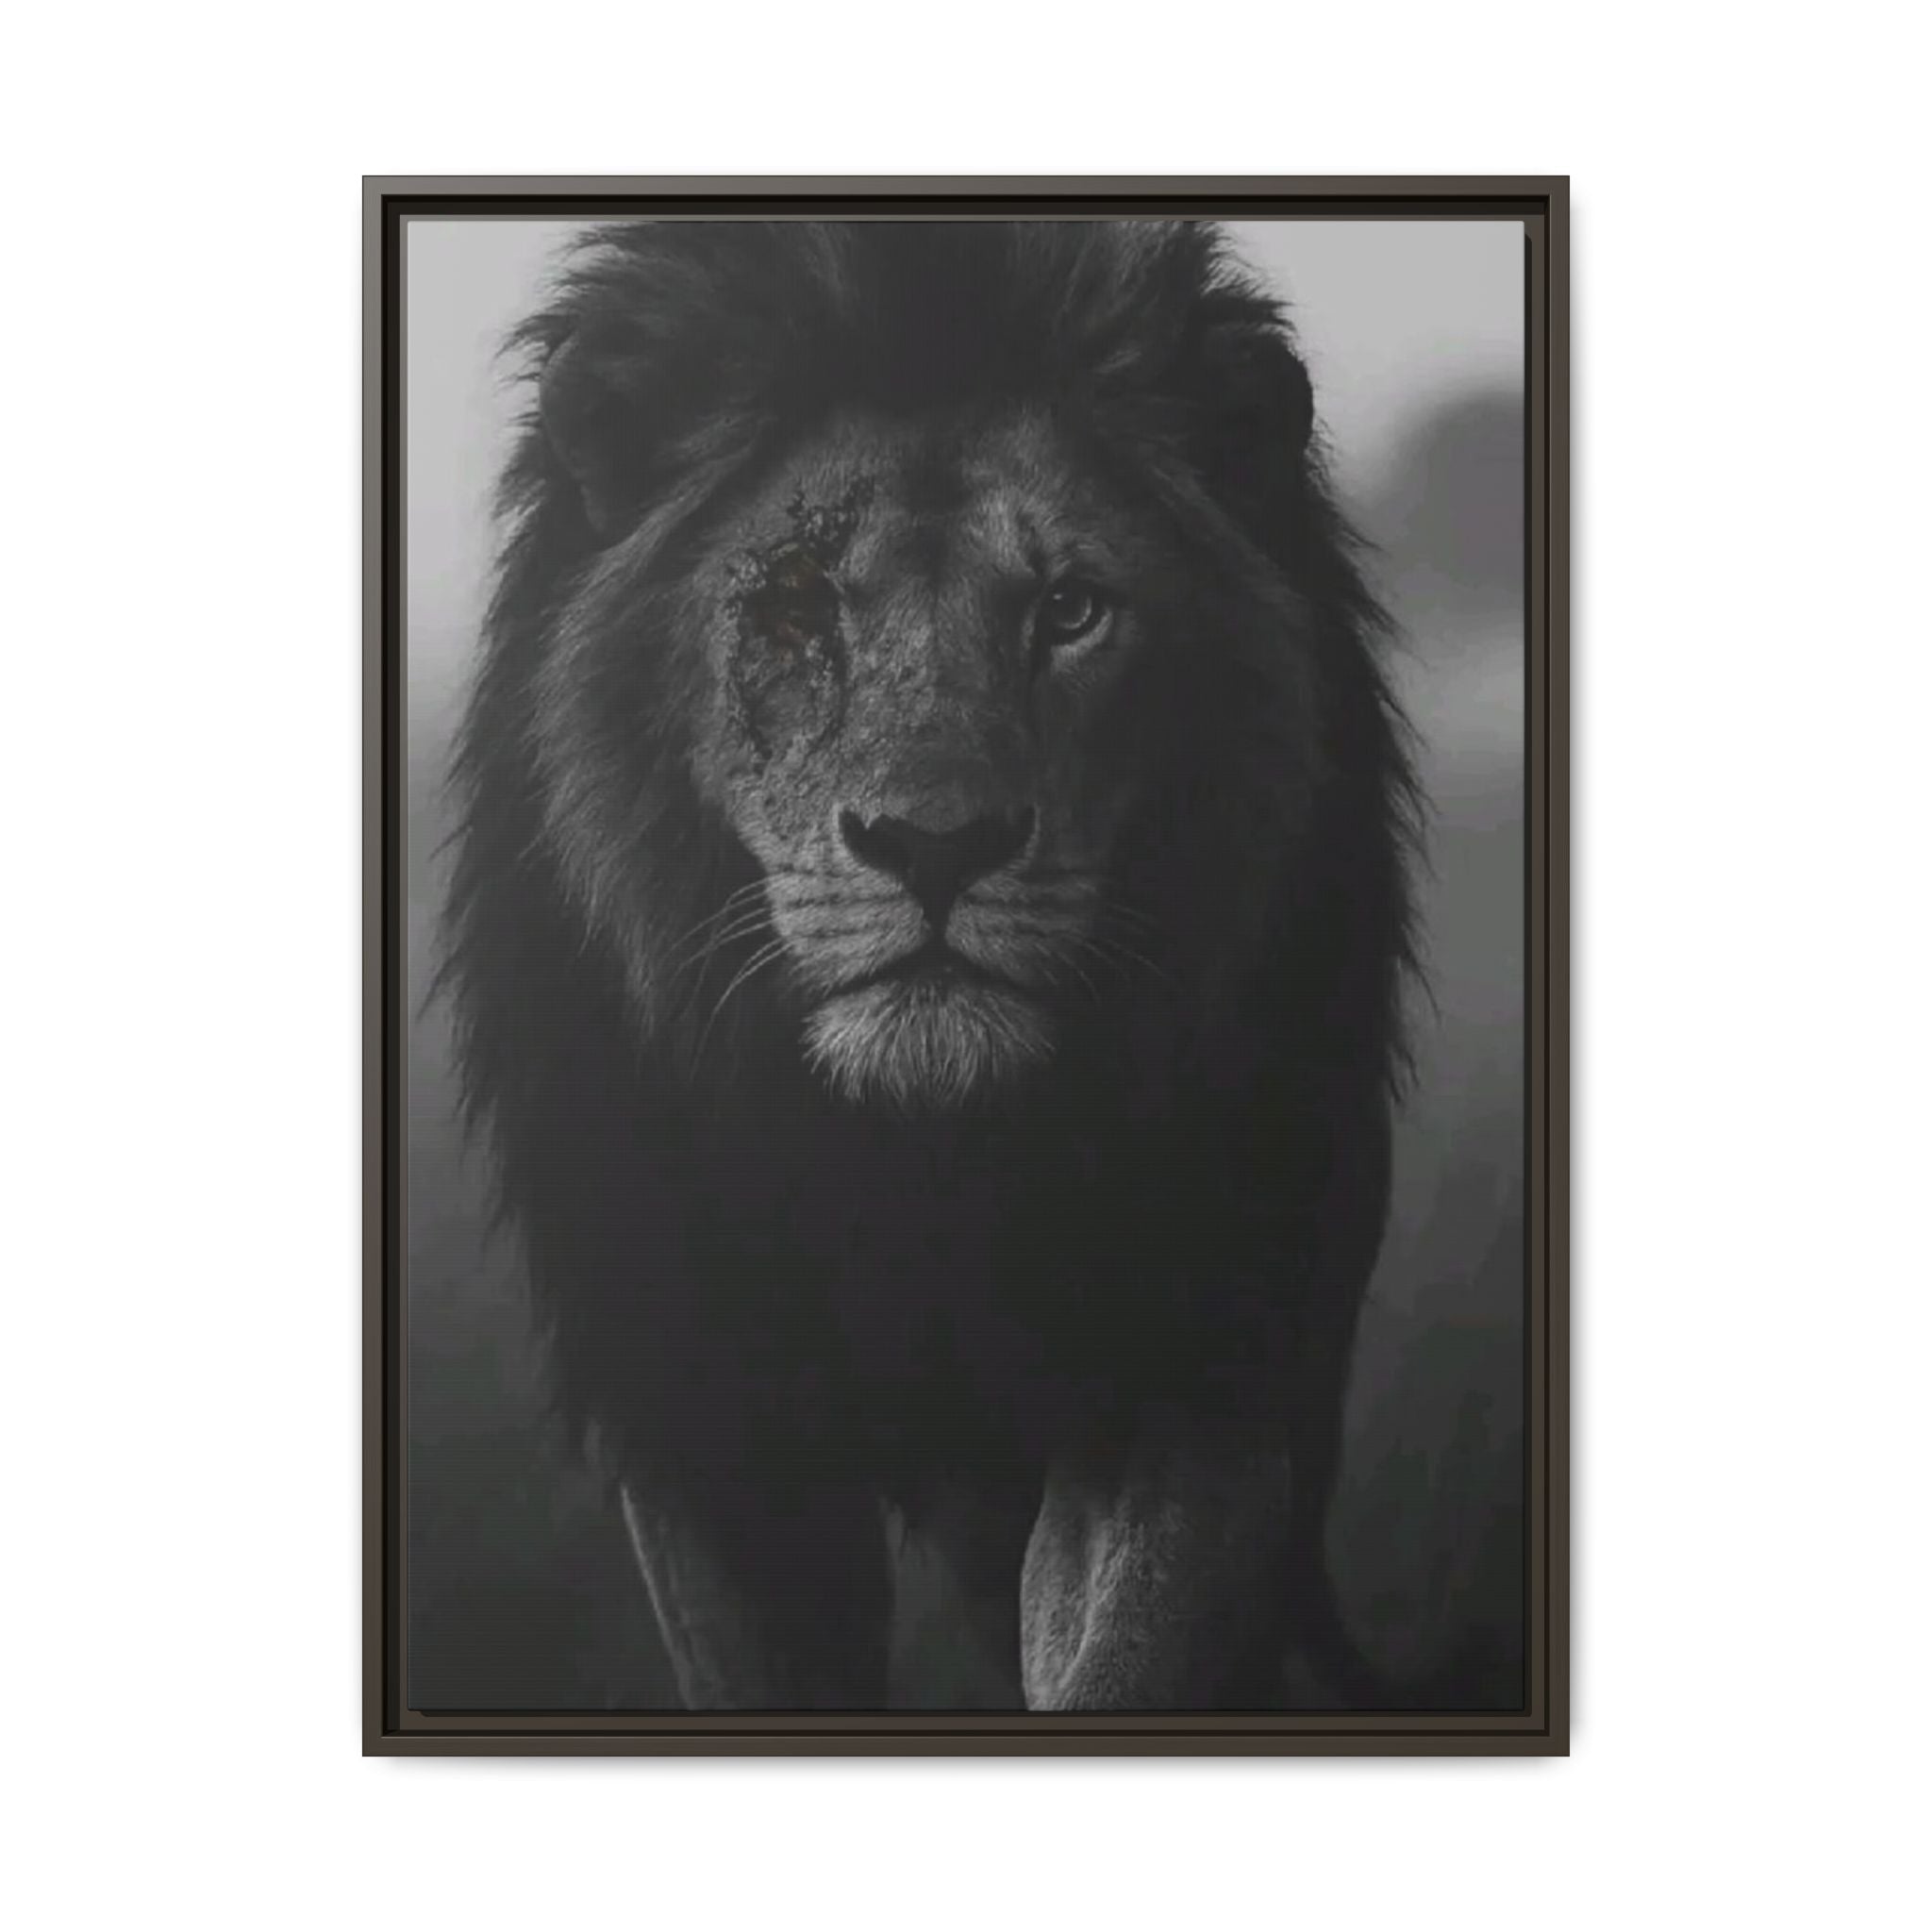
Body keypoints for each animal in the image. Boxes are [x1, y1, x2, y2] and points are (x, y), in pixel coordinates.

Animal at [441, 219, 1422, 1710]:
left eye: (1070, 610)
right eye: (796, 607)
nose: (936, 843)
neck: (919, 1168)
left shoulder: (1195, 1364)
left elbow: (1130, 1654)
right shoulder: (702, 1418)